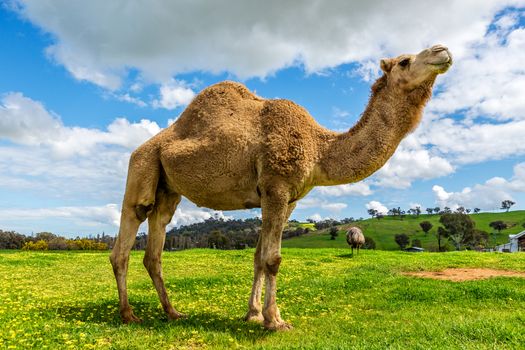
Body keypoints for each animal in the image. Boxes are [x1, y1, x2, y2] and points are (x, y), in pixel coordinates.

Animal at [109, 44, 450, 330]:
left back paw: (173, 312)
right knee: (127, 233)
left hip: (168, 187)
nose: (442, 51)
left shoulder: (289, 199)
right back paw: (128, 314)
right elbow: (273, 260)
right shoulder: (276, 186)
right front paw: (275, 320)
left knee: (156, 238)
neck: (318, 148)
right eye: (405, 61)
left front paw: (253, 314)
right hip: (142, 165)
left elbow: (258, 257)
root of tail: (149, 144)